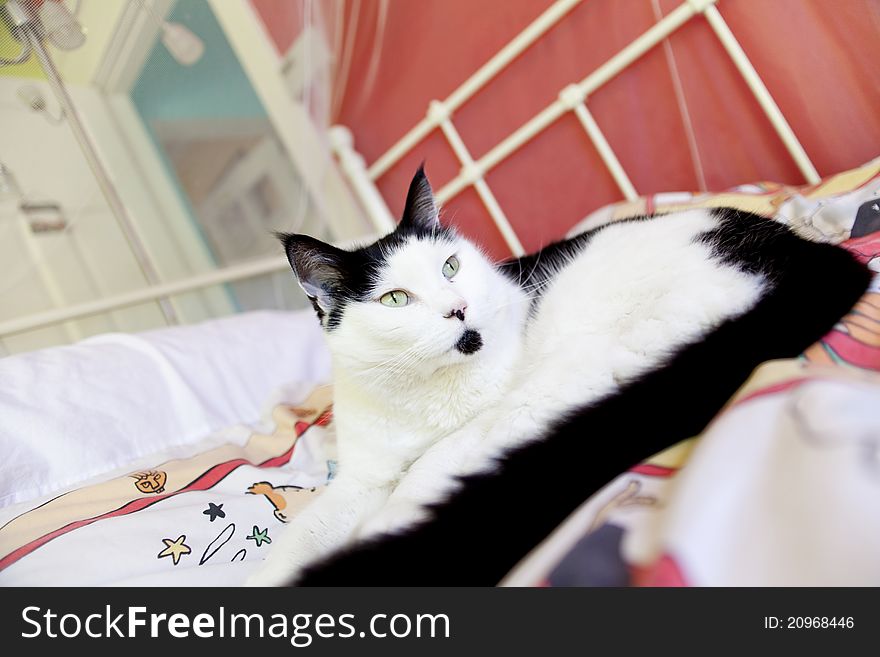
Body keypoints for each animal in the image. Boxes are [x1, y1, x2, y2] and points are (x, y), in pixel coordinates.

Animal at [244, 168, 868, 584]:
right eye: (396, 298)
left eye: (450, 266)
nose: (458, 309)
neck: (424, 393)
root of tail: (807, 255)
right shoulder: (360, 480)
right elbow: (300, 535)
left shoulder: (470, 431)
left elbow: (424, 471)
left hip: (575, 371)